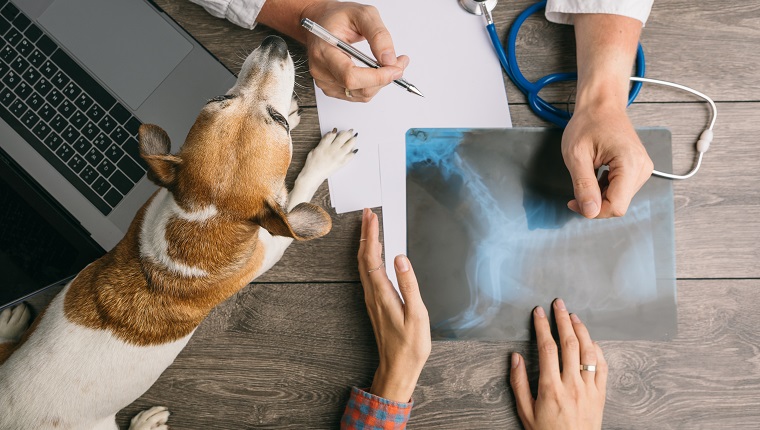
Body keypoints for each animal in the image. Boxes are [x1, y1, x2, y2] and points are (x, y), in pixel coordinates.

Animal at [0, 35, 356, 428]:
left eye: (219, 97)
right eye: (277, 123)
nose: (273, 42)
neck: (204, 218)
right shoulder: (272, 244)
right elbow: (298, 192)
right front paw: (325, 156)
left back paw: (8, 324)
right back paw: (146, 422)